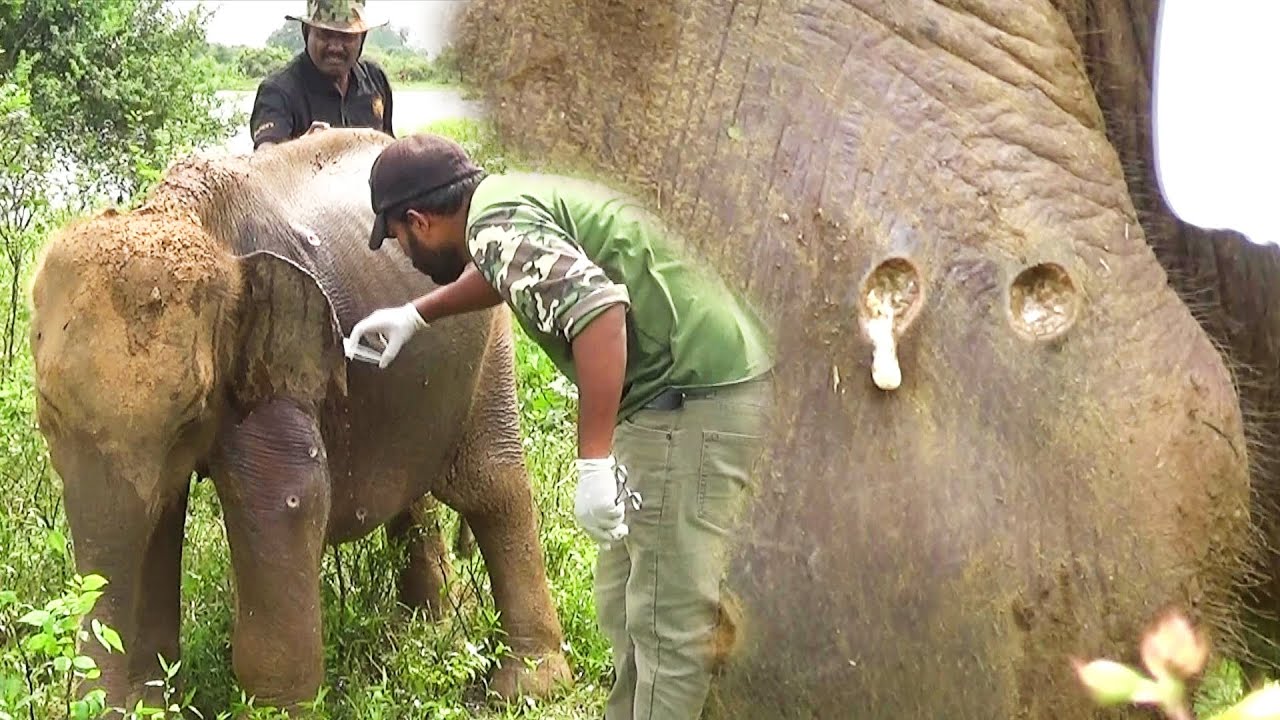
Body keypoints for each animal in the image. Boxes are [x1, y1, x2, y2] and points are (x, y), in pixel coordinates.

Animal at [28, 128, 572, 712]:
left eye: (190, 414)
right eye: (48, 413)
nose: (97, 705)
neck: (182, 212)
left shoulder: (276, 364)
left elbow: (285, 502)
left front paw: (275, 711)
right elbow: (158, 517)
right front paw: (154, 705)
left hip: (490, 330)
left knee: (490, 485)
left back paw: (528, 686)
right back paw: (422, 630)